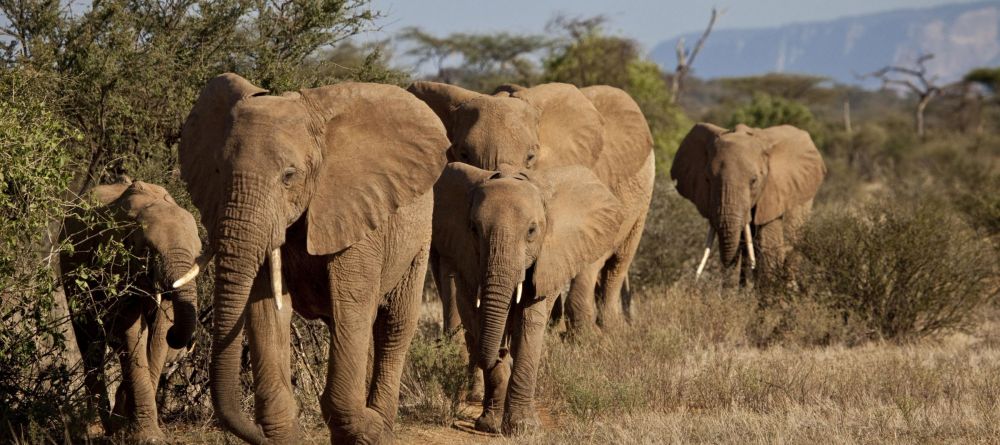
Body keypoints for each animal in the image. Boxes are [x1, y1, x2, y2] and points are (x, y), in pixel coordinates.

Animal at [178, 71, 448, 442]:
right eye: (218, 171)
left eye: (289, 176)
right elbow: (267, 309)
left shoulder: (357, 217)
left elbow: (353, 305)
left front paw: (369, 430)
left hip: (419, 239)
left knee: (393, 326)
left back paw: (381, 424)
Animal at [408, 80, 656, 332]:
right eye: (464, 154)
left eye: (530, 157)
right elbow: (450, 265)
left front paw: (582, 336)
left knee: (616, 262)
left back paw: (606, 330)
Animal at [432, 161, 620, 432]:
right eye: (473, 229)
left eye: (532, 230)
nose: (500, 353)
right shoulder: (465, 254)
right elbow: (476, 317)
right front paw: (490, 425)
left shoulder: (547, 258)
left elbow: (529, 323)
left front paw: (523, 427)